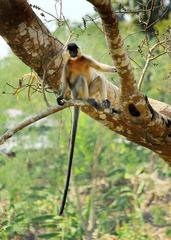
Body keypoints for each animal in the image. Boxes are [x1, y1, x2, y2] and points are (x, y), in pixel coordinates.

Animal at [56, 43, 117, 216]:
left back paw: (104, 102)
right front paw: (61, 96)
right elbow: (65, 81)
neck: (76, 61)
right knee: (81, 80)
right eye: (70, 50)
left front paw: (114, 69)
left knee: (99, 79)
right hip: (78, 91)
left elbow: (99, 68)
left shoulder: (86, 58)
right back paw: (87, 100)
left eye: (75, 50)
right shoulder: (66, 65)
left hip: (91, 89)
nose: (73, 53)